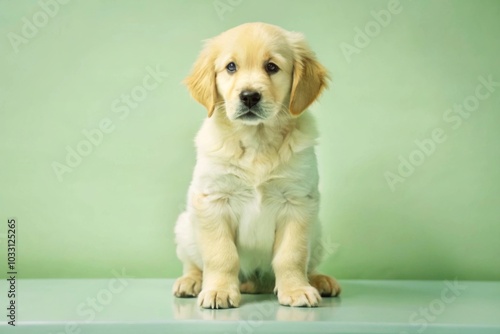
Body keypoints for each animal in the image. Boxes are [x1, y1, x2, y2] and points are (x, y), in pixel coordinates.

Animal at [172, 22, 340, 310]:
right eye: (231, 67)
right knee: (193, 264)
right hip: (185, 227)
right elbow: (221, 254)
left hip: (316, 230)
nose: (249, 96)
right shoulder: (214, 200)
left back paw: (319, 280)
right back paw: (191, 282)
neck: (257, 140)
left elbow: (292, 255)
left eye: (271, 67)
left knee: (307, 264)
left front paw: (296, 290)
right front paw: (218, 291)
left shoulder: (297, 201)